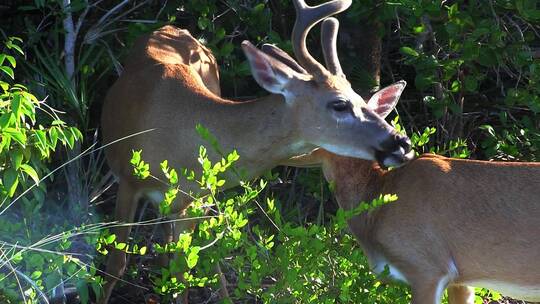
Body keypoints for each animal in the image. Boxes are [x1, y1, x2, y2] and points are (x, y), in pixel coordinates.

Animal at [101, 0, 414, 302]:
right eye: (339, 104)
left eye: (361, 98)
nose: (401, 142)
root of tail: (171, 27)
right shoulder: (128, 181)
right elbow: (116, 265)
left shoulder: (191, 202)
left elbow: (183, 277)